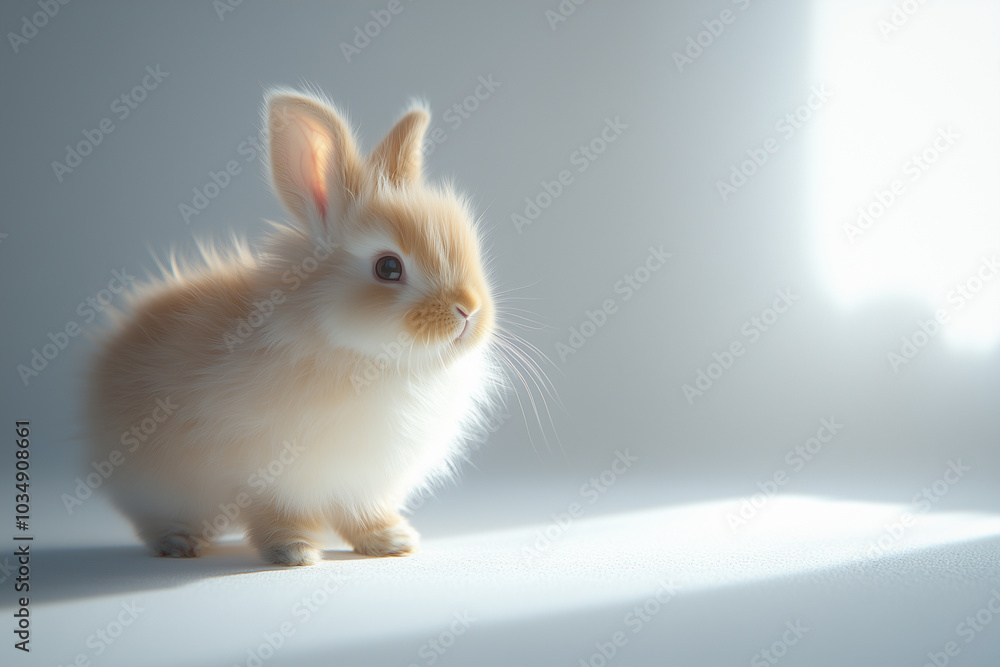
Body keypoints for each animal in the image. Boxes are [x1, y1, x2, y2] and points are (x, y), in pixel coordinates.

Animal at [85, 89, 500, 566]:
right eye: (388, 267)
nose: (468, 310)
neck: (364, 356)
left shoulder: (361, 484)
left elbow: (361, 514)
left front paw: (393, 541)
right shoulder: (270, 475)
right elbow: (278, 514)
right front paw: (294, 552)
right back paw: (179, 543)